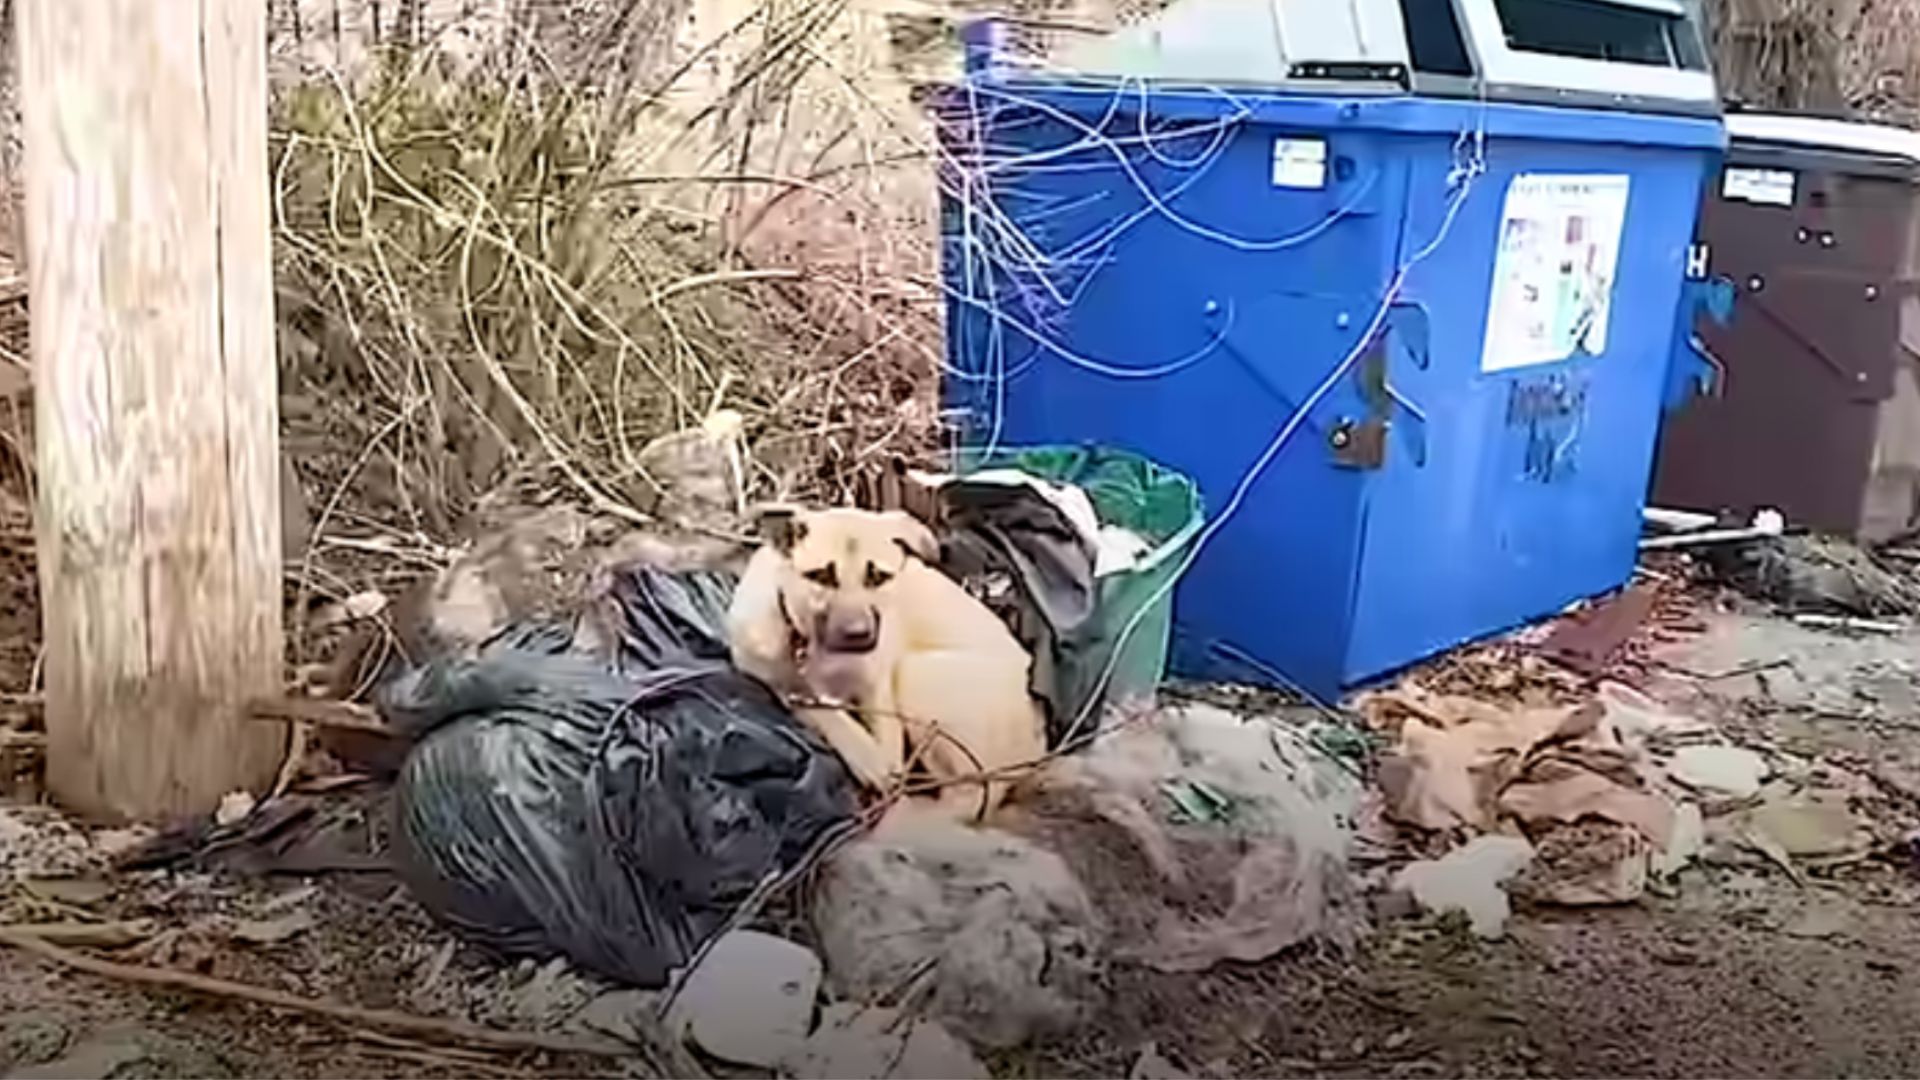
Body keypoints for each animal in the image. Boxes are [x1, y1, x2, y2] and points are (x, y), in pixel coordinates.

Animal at [721, 503, 1052, 814]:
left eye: (878, 576)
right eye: (822, 575)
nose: (859, 635)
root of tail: (1036, 746)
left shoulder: (877, 684)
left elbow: (888, 747)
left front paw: (881, 766)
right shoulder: (783, 685)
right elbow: (825, 711)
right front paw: (865, 753)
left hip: (915, 674)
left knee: (967, 791)